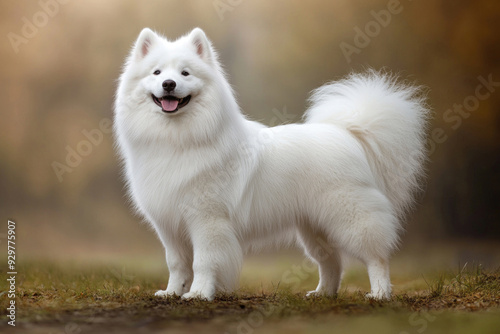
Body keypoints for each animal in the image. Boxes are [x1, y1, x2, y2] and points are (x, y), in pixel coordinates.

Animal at [113, 27, 430, 302]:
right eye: (156, 72)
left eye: (185, 73)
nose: (169, 84)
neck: (178, 139)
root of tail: (347, 133)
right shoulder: (169, 226)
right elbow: (176, 264)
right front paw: (172, 292)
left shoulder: (207, 221)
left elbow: (203, 262)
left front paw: (199, 293)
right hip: (314, 228)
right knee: (332, 262)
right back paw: (322, 294)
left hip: (351, 219)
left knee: (376, 257)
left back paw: (380, 293)